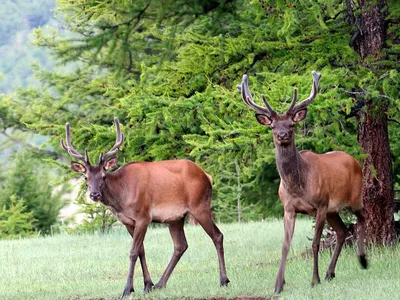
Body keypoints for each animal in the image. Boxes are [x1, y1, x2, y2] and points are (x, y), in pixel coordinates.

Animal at [59, 117, 228, 298]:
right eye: (86, 177)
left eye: (103, 176)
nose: (94, 194)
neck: (121, 200)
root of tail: (207, 176)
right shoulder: (127, 221)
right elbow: (141, 250)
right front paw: (147, 285)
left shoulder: (143, 216)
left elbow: (133, 252)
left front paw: (127, 289)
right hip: (176, 217)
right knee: (180, 245)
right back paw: (160, 284)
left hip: (200, 205)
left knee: (217, 236)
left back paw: (223, 280)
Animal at [239, 71, 368, 292]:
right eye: (272, 126)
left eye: (291, 124)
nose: (282, 135)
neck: (297, 186)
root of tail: (354, 160)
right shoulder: (289, 208)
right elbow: (285, 245)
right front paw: (278, 285)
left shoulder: (320, 205)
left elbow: (315, 243)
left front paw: (314, 280)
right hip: (333, 210)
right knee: (342, 231)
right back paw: (330, 273)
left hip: (353, 197)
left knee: (362, 219)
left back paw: (361, 261)